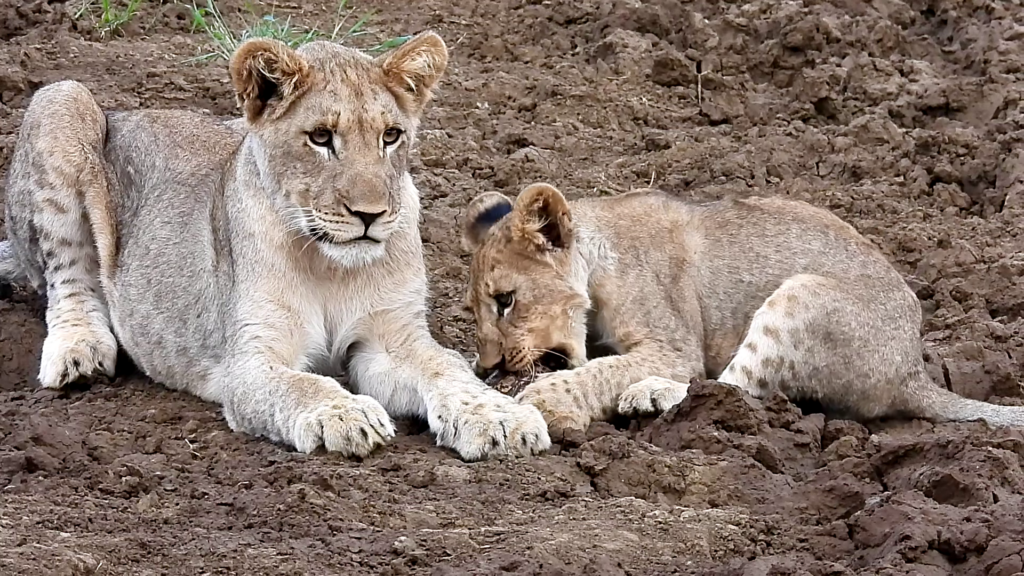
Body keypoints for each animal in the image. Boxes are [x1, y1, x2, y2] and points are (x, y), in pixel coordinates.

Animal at [0, 32, 551, 461]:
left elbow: (449, 370)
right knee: (68, 279)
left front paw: (503, 416)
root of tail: (129, 110)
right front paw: (345, 413)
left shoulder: (391, 338)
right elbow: (304, 384)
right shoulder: (249, 360)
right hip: (63, 98)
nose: (370, 215)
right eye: (321, 137)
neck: (332, 266)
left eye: (391, 136)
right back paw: (80, 354)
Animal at [461, 182, 1024, 432]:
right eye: (477, 309)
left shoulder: (674, 347)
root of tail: (911, 369)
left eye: (506, 301)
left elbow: (600, 371)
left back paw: (651, 395)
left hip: (802, 295)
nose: (486, 368)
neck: (596, 260)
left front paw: (541, 400)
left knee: (733, 387)